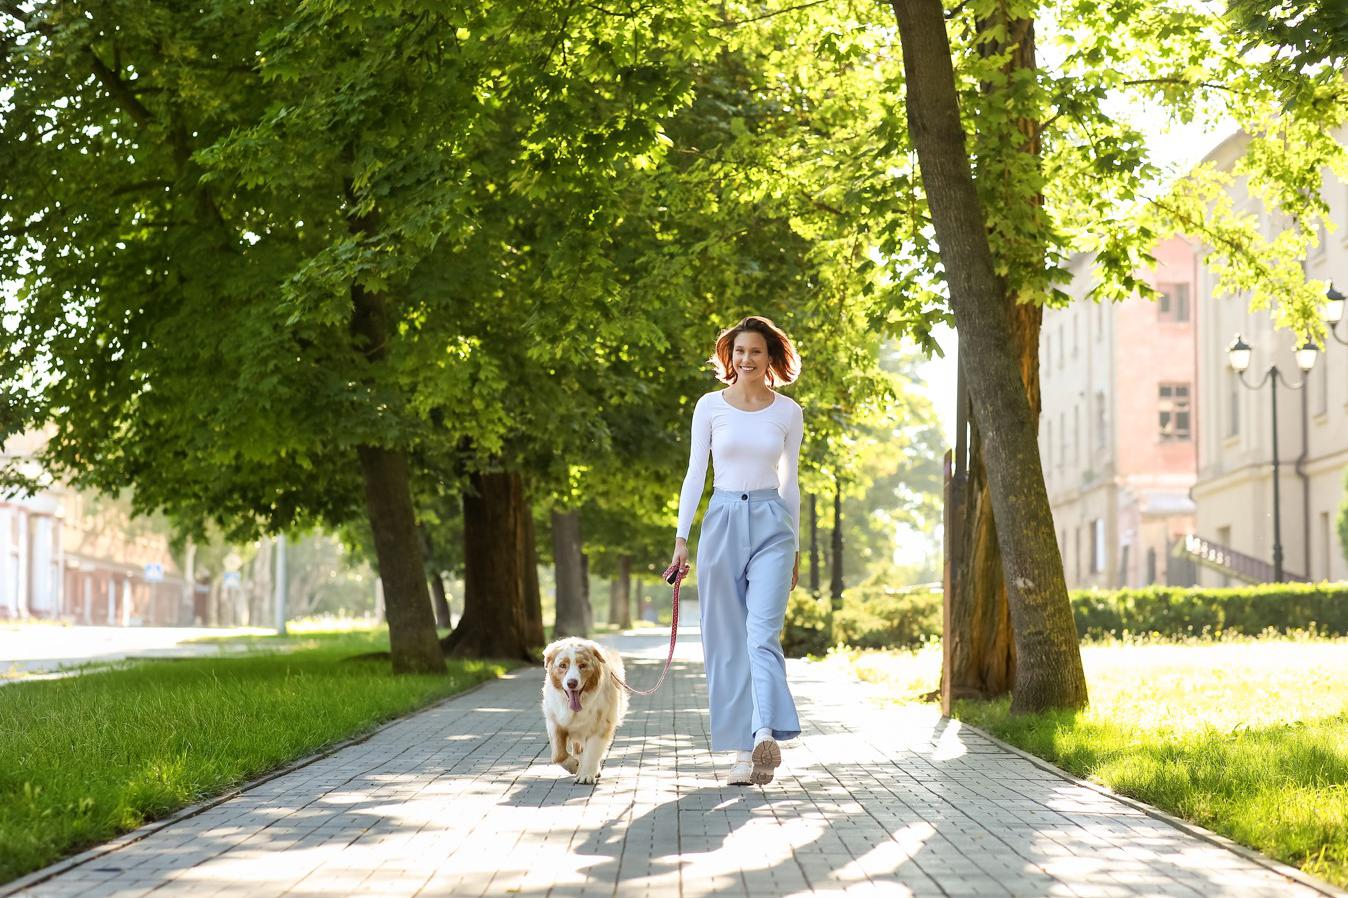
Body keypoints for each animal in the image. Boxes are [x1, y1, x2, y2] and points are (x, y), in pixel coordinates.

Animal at [539, 633, 628, 782]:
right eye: (562, 665)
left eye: (582, 665)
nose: (572, 683)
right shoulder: (554, 722)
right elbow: (558, 755)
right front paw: (574, 766)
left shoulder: (601, 724)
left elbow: (592, 752)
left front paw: (586, 774)